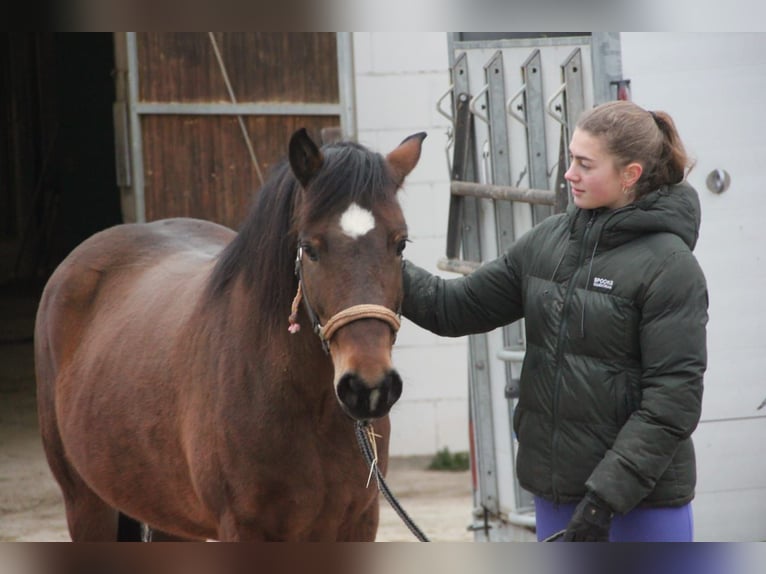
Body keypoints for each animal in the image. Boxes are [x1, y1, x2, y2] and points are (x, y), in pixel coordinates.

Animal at [33, 128, 428, 544]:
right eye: (309, 248)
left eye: (400, 243)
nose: (368, 388)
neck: (306, 408)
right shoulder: (243, 527)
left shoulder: (359, 522)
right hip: (84, 501)